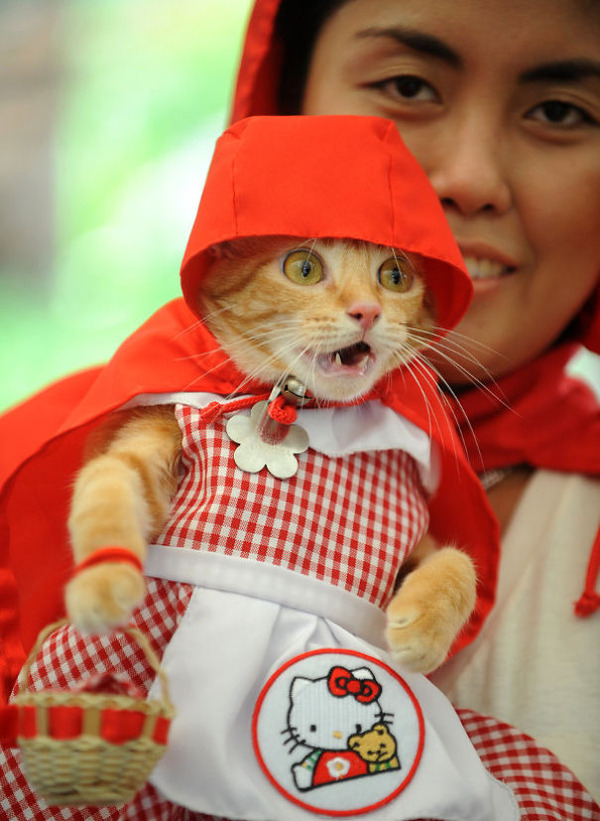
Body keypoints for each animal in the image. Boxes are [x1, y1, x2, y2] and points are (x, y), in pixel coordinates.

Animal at [65, 235, 476, 672]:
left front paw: (427, 628)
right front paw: (102, 579)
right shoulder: (153, 444)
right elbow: (108, 483)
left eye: (396, 276)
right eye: (304, 269)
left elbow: (459, 563)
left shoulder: (415, 542)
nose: (368, 310)